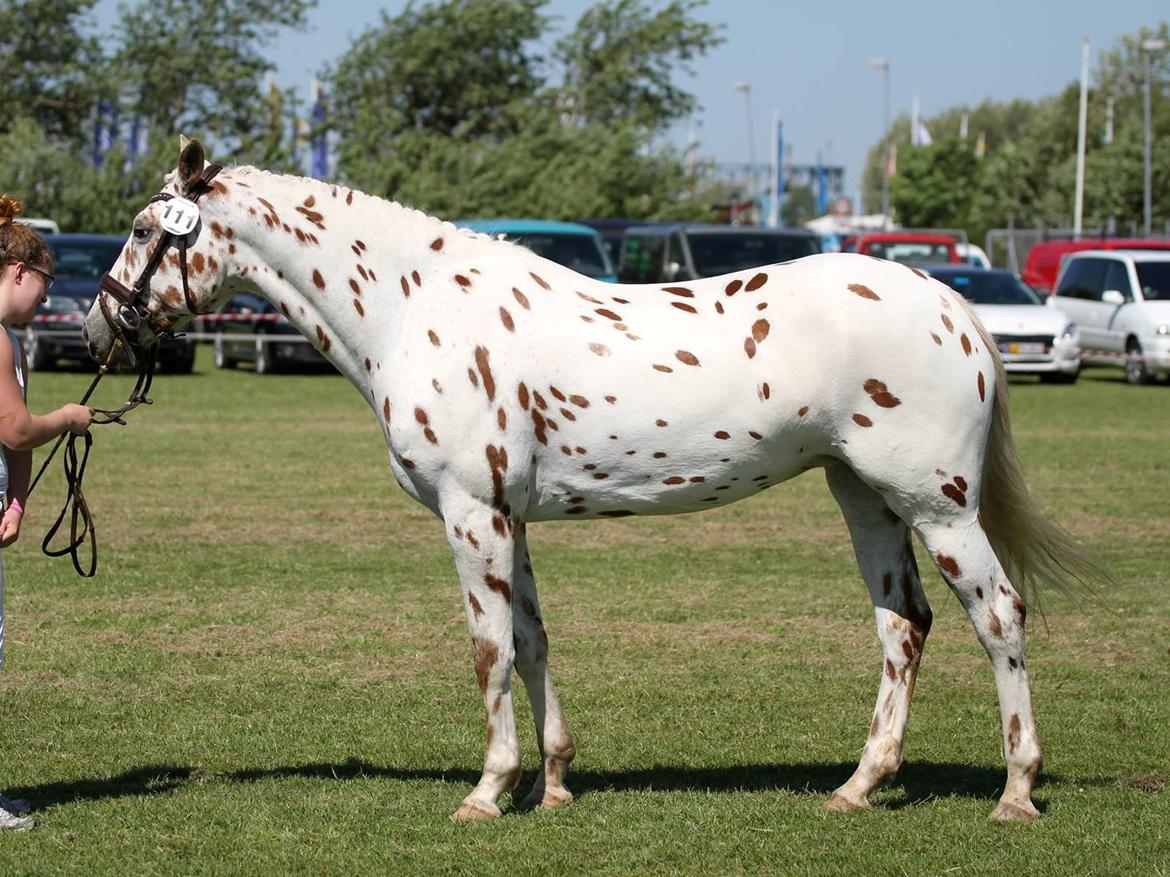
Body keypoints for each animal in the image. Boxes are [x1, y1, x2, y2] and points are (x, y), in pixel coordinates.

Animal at [84, 142, 1095, 823]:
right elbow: (533, 640)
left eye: (140, 229)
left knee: (998, 615)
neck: (418, 307)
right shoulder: (511, 518)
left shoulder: (472, 514)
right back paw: (858, 785)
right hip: (865, 497)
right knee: (903, 624)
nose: (97, 325)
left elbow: (488, 649)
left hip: (937, 504)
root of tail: (951, 304)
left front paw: (487, 791)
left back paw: (1016, 792)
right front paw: (555, 782)